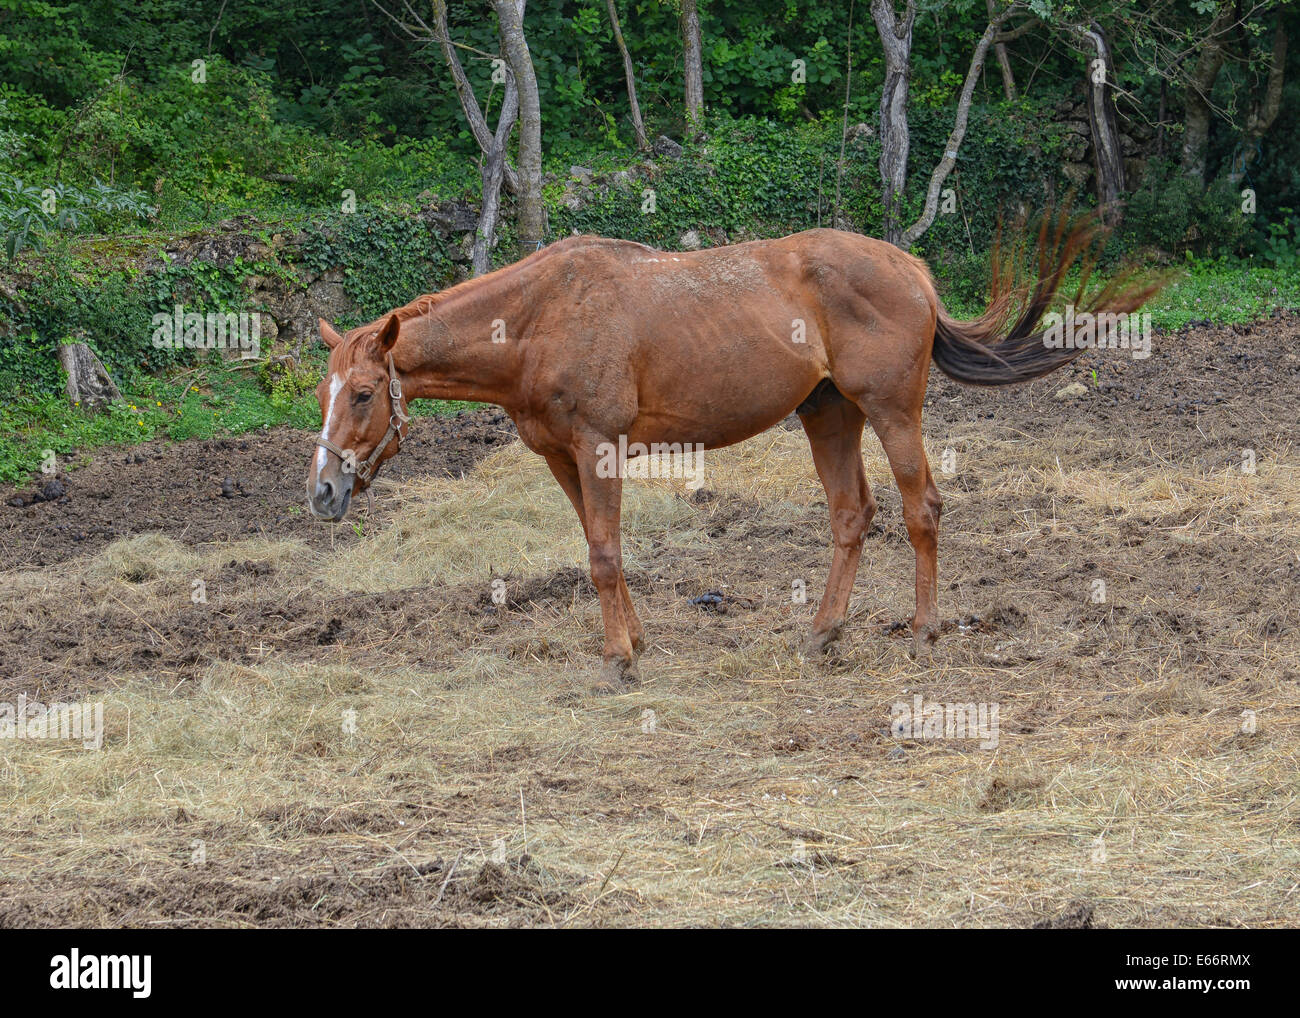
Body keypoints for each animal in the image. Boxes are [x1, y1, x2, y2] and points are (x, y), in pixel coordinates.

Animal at [306, 214, 1159, 691]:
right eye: (323, 392)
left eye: (362, 393)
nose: (322, 492)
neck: (540, 317)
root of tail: (909, 269)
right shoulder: (560, 457)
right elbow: (601, 551)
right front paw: (634, 642)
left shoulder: (598, 448)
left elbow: (605, 557)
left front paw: (620, 663)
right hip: (829, 415)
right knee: (852, 516)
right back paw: (822, 634)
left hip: (891, 413)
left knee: (922, 509)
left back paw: (923, 634)